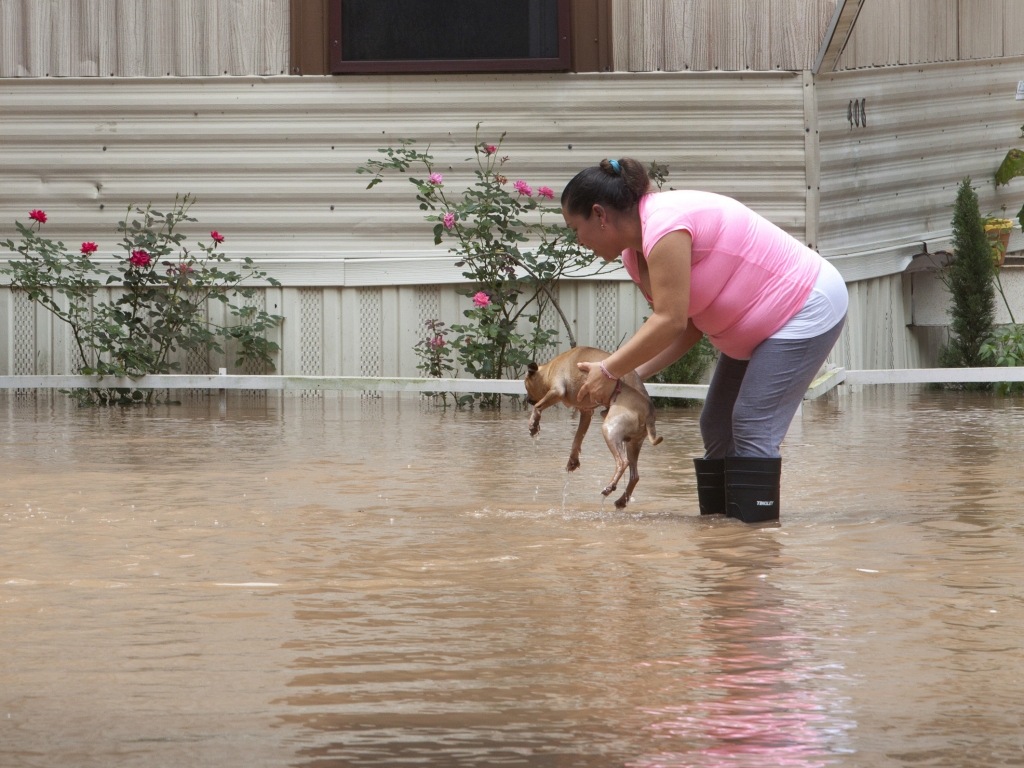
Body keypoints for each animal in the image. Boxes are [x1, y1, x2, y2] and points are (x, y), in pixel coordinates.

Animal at [528, 348, 663, 512]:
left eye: (526, 386)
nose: (527, 400)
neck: (549, 368)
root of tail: (649, 411)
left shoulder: (557, 390)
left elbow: (538, 406)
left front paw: (534, 422)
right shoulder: (586, 413)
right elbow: (577, 438)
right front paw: (573, 460)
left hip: (610, 430)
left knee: (622, 462)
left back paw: (610, 486)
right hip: (633, 443)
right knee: (634, 476)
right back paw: (621, 500)